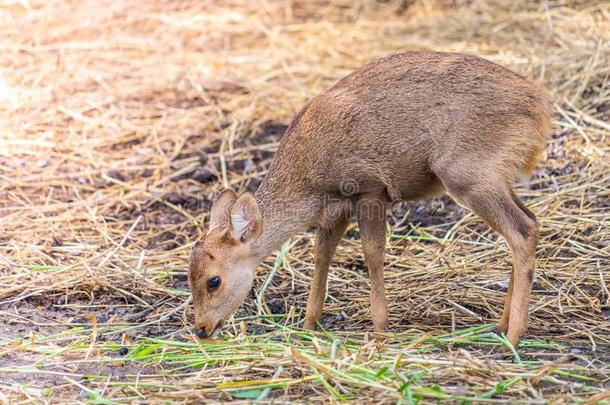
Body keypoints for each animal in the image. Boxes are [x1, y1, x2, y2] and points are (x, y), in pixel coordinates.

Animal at [188, 52, 548, 346]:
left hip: (468, 173)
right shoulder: (334, 211)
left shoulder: (370, 188)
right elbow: (322, 256)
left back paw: (515, 335)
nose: (201, 329)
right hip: (496, 176)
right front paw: (308, 325)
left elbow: (372, 252)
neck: (308, 181)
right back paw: (499, 326)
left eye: (213, 281)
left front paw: (379, 328)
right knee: (529, 221)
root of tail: (540, 109)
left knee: (521, 230)